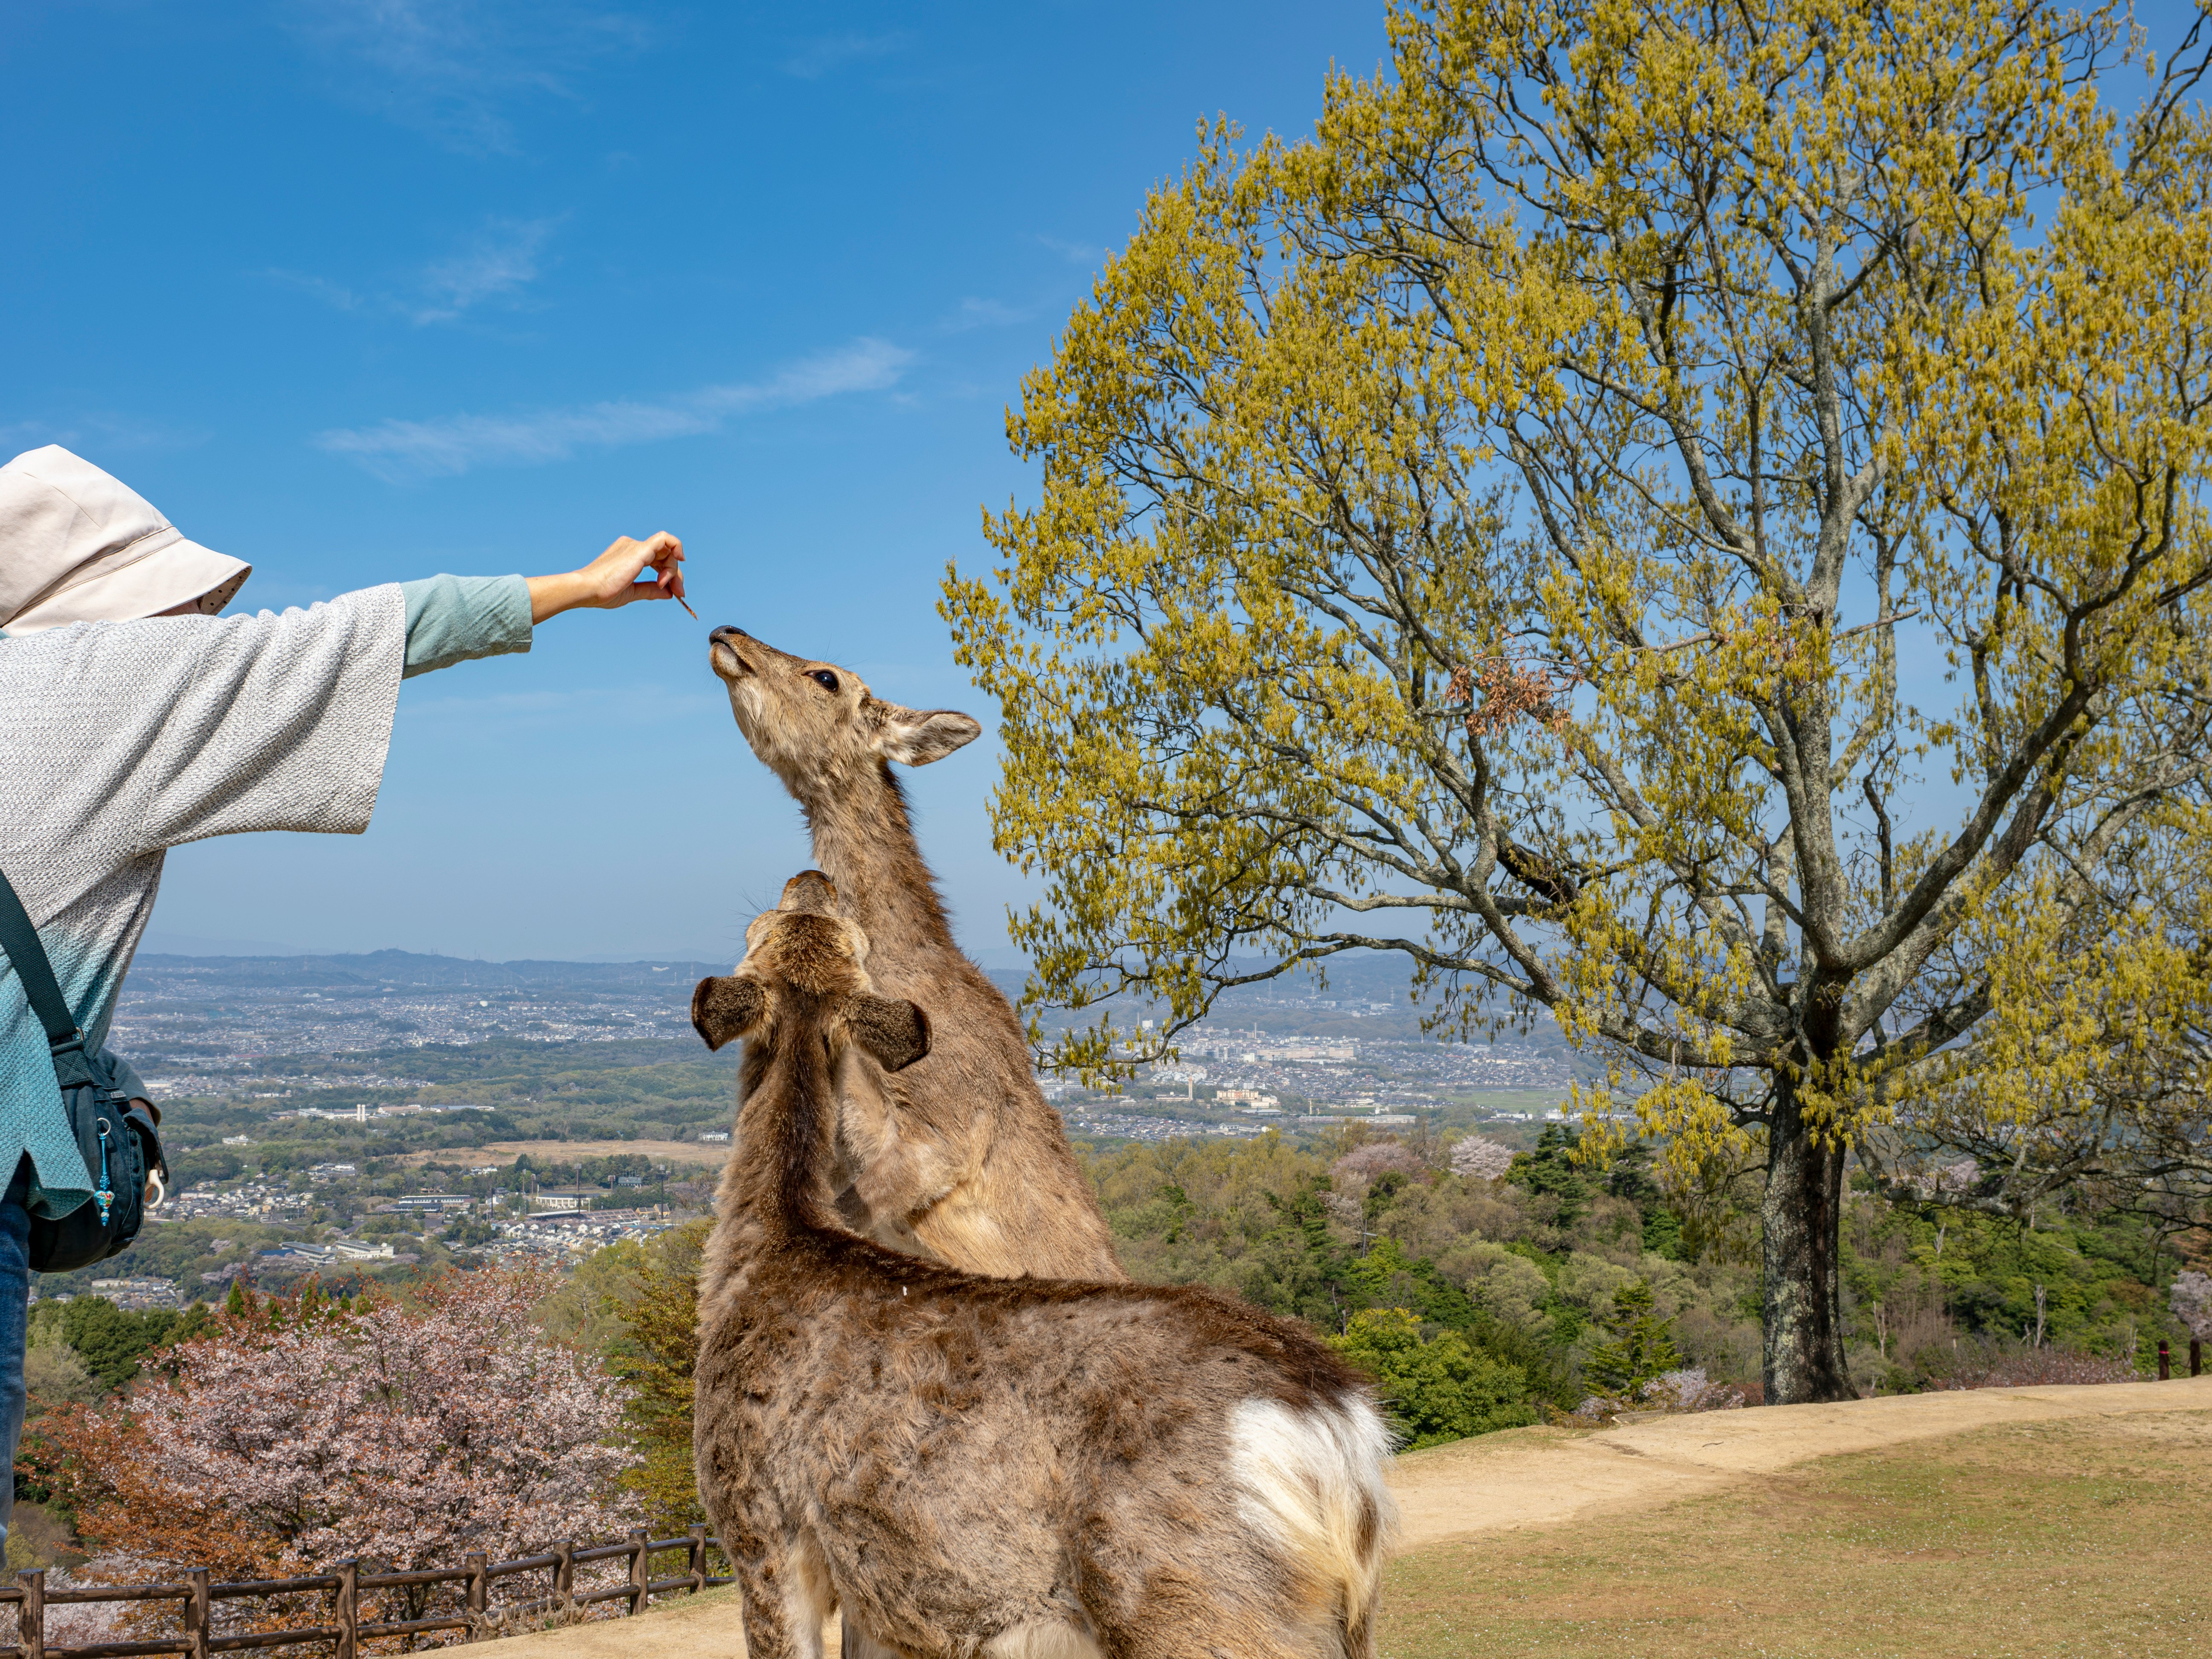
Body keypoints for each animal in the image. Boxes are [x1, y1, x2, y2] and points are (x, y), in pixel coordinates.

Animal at [690, 875, 1396, 1659]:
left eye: (759, 927)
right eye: (810, 928)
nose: (810, 880)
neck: (758, 1256)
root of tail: (1337, 1432)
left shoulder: (757, 1523)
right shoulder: (880, 1591)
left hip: (1198, 1606)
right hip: (1342, 1621)